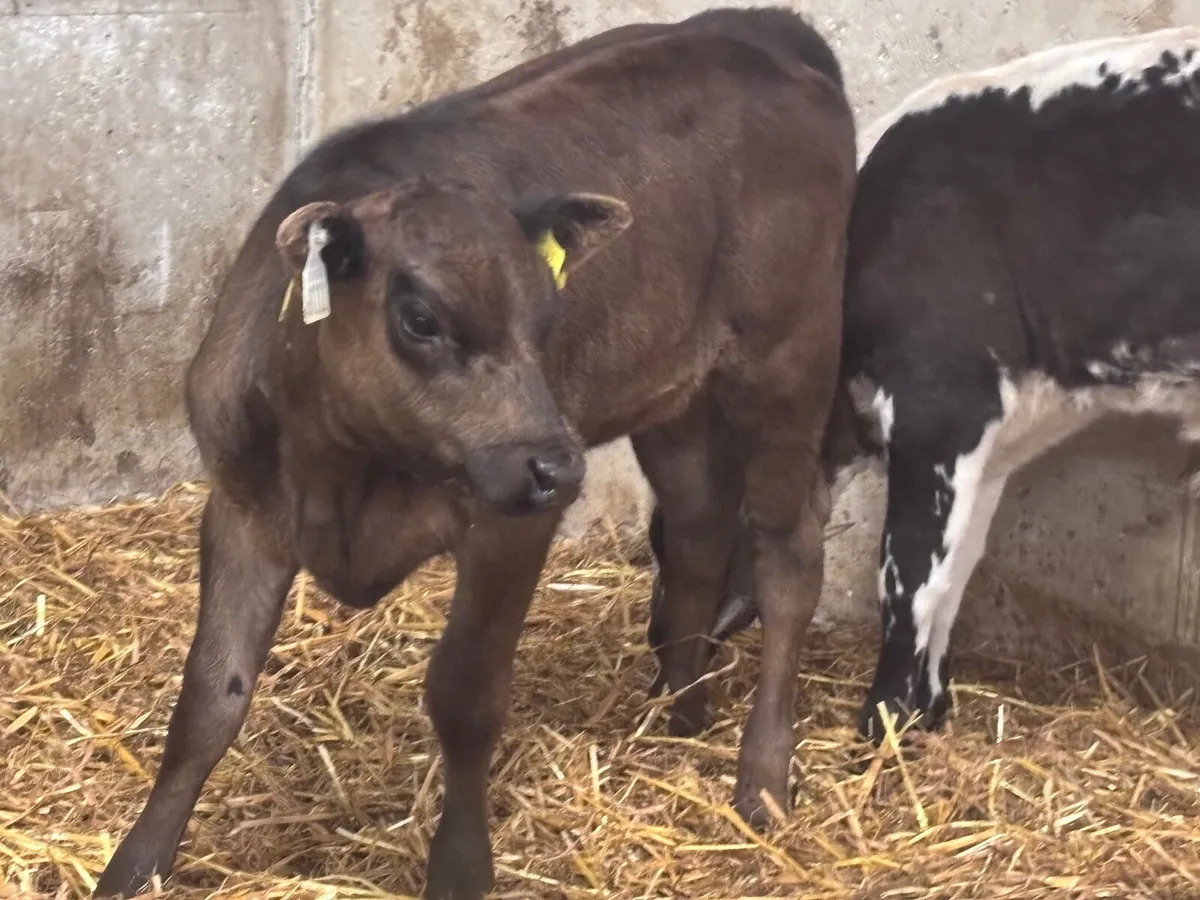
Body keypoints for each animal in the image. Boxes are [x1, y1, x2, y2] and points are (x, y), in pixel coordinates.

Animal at [93, 7, 855, 899]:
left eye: (546, 316)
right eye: (420, 318)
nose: (558, 464)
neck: (342, 466)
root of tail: (760, 31)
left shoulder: (510, 527)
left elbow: (464, 694)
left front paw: (461, 867)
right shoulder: (241, 506)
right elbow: (209, 695)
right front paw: (133, 867)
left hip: (788, 360)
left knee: (788, 556)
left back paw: (762, 775)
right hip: (673, 392)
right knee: (700, 533)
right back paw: (677, 712)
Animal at [645, 25, 1200, 753]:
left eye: (668, 540)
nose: (654, 648)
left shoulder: (941, 405)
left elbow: (909, 579)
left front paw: (881, 722)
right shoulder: (990, 438)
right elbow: (957, 571)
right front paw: (929, 709)